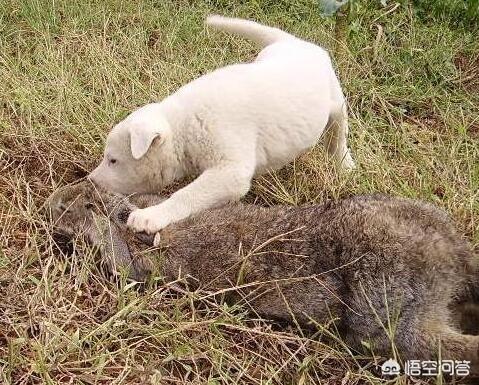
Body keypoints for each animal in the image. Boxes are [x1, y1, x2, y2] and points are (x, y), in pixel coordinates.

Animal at [89, 16, 356, 242]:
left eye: (113, 160)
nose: (90, 181)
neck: (183, 124)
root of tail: (294, 42)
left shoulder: (230, 171)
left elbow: (187, 194)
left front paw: (150, 216)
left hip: (336, 104)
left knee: (338, 136)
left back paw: (345, 164)